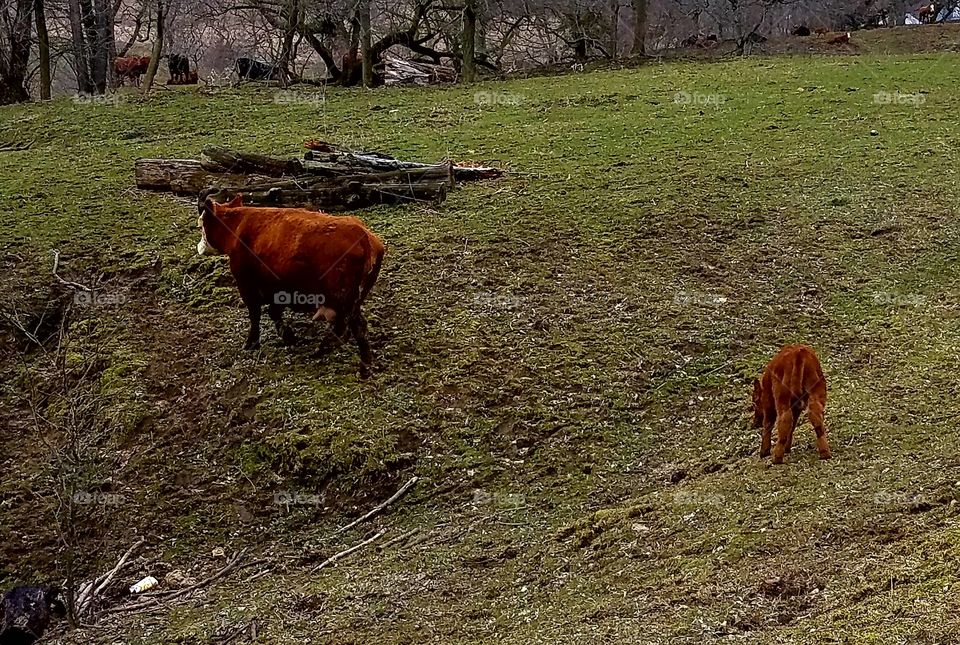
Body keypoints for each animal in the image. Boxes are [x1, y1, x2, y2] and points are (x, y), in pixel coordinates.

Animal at [196, 194, 386, 376]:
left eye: (201, 225)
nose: (199, 246)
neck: (238, 227)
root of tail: (364, 237)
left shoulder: (247, 285)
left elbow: (255, 315)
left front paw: (252, 342)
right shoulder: (276, 287)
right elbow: (274, 311)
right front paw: (288, 336)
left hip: (344, 299)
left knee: (352, 327)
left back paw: (342, 356)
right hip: (352, 300)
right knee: (350, 328)